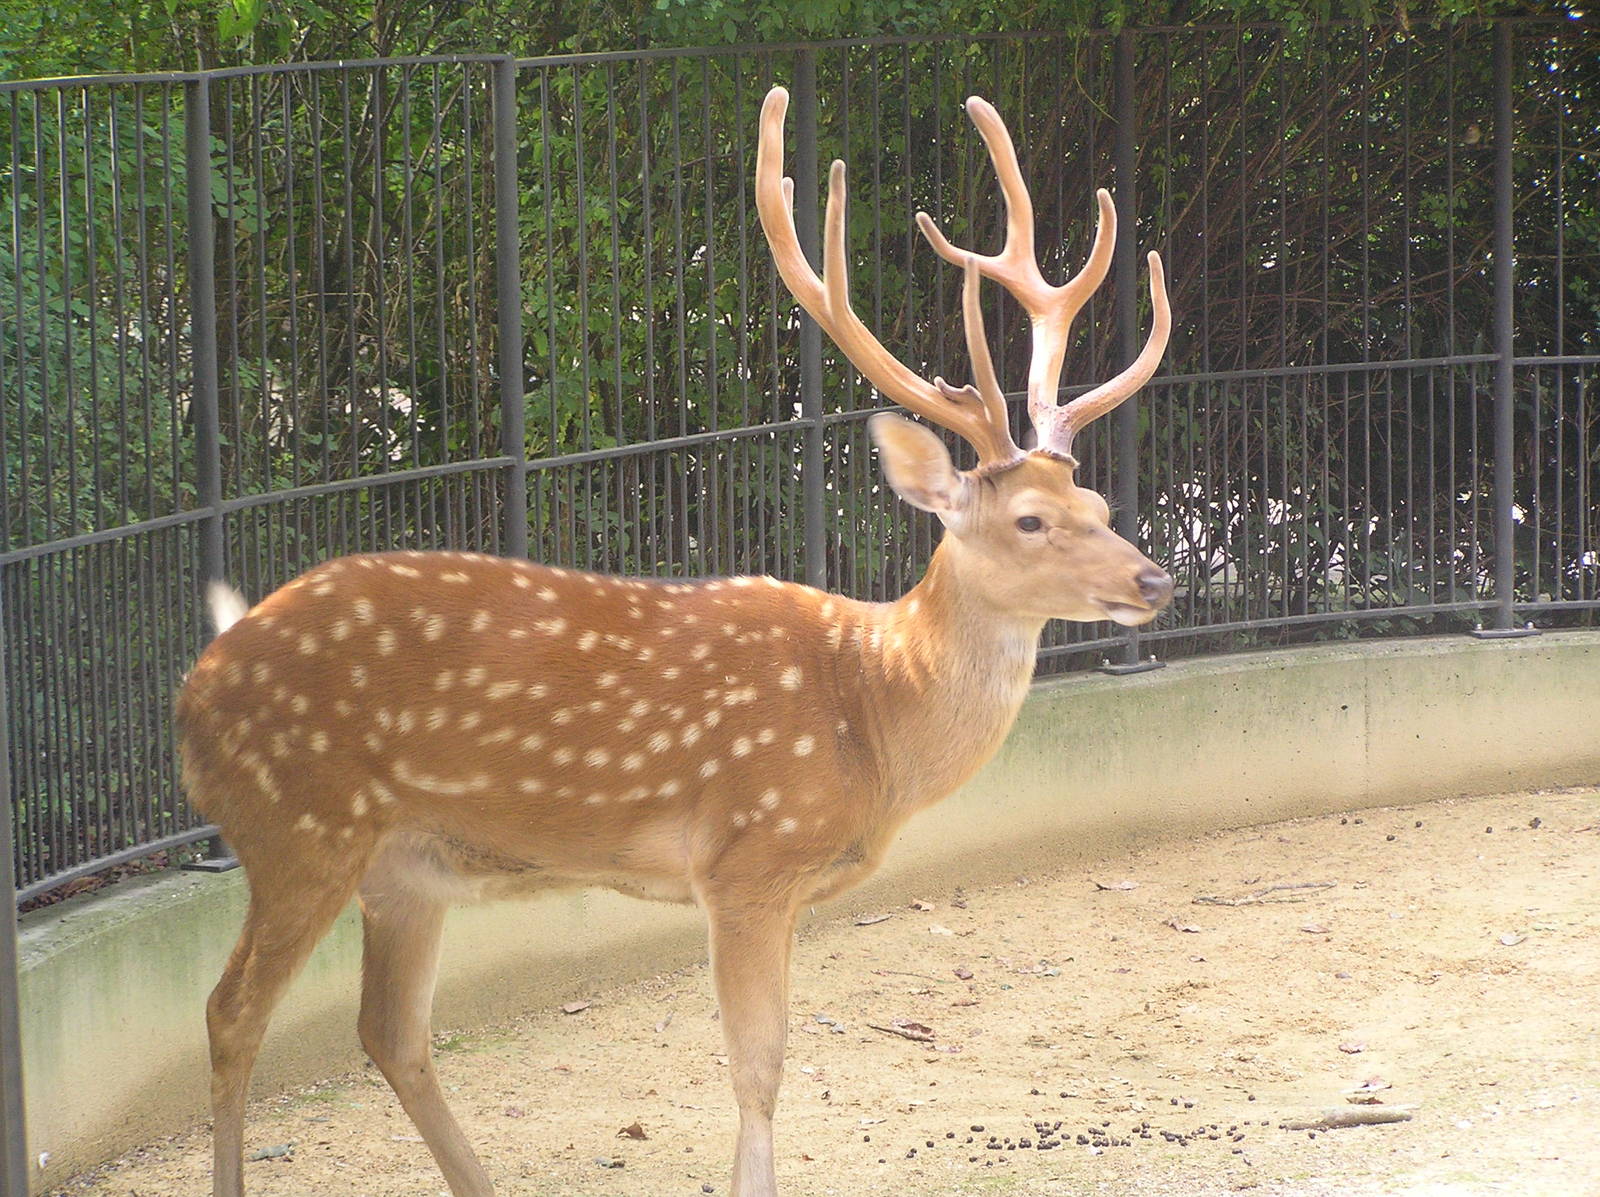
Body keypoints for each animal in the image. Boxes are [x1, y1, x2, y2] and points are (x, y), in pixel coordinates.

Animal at [175, 84, 1172, 1197]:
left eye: (1095, 501)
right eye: (1030, 520)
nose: (1154, 578)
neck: (871, 714)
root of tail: (193, 689)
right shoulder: (749, 856)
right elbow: (760, 1063)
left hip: (405, 865)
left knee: (388, 1030)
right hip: (298, 826)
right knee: (231, 1012)